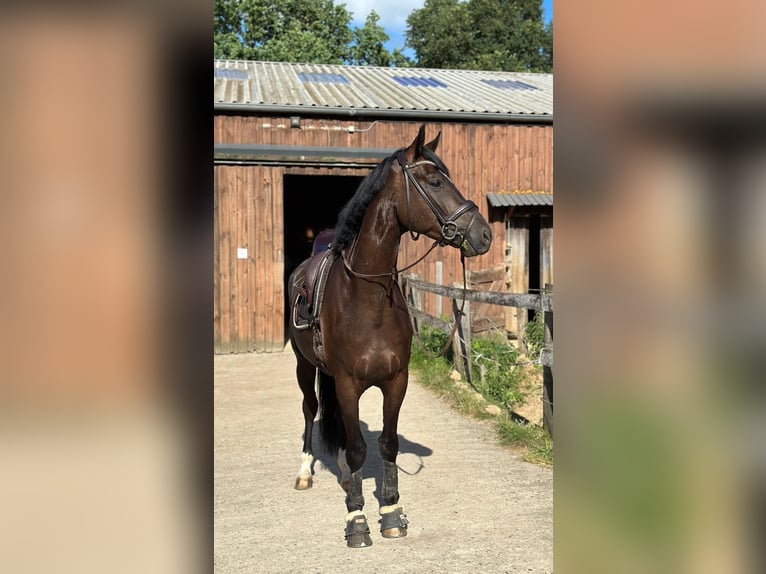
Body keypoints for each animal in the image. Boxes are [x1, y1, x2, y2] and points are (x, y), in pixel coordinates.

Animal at [286, 125, 492, 548]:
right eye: (435, 181)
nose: (484, 234)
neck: (367, 298)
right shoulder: (348, 384)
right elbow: (359, 448)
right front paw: (357, 520)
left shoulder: (397, 381)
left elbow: (387, 445)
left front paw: (391, 511)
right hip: (303, 366)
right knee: (311, 410)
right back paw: (305, 472)